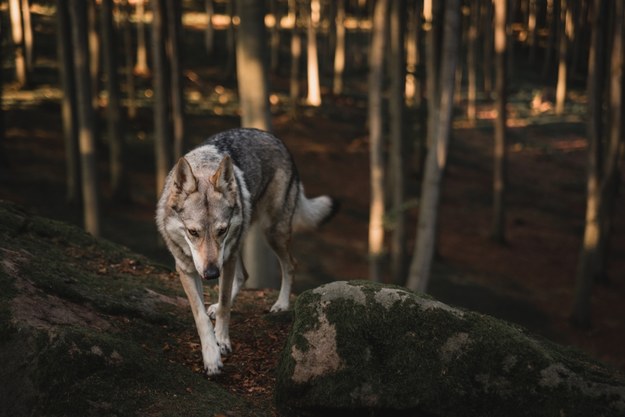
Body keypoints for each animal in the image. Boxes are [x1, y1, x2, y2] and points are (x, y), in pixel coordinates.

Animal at [155, 127, 336, 374]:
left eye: (221, 230)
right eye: (193, 232)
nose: (211, 274)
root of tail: (275, 138)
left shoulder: (225, 257)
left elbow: (224, 305)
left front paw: (222, 341)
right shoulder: (187, 269)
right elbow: (201, 316)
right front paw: (211, 356)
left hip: (269, 233)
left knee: (290, 264)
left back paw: (281, 304)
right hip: (240, 244)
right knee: (244, 275)